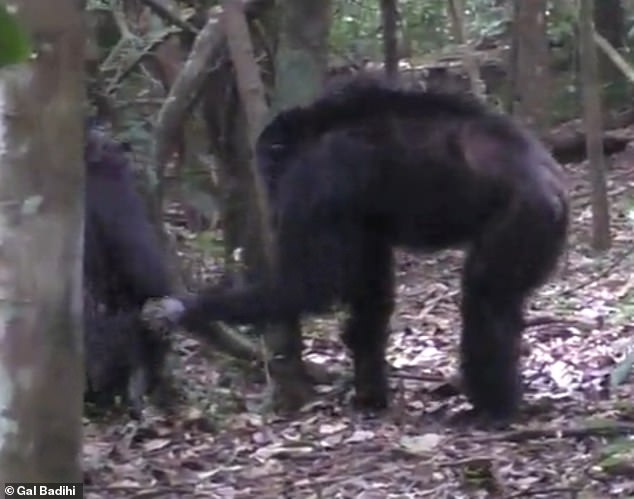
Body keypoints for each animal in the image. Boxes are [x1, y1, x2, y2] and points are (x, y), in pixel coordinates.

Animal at [143, 76, 568, 424]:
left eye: (272, 165)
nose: (269, 184)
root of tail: (554, 183)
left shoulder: (314, 181)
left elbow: (311, 285)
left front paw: (182, 307)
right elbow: (371, 293)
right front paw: (369, 391)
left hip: (522, 221)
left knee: (484, 300)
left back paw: (491, 409)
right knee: (502, 305)